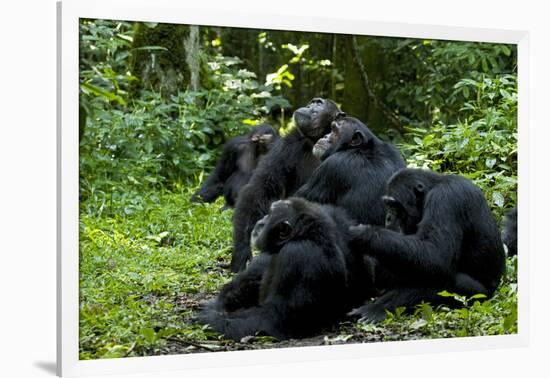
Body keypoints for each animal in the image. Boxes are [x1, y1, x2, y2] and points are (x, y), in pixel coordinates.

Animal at [201, 198, 352, 340]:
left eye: (270, 213)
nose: (261, 220)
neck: (304, 237)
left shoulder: (297, 254)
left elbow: (274, 319)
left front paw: (209, 318)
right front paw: (222, 300)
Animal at [230, 97, 342, 272]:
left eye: (319, 104)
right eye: (313, 102)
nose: (309, 105)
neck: (317, 139)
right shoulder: (287, 144)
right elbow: (260, 188)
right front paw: (241, 251)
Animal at [350, 168, 508, 322]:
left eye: (394, 205)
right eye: (387, 205)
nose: (388, 217)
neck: (431, 189)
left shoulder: (445, 199)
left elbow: (436, 254)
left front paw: (364, 233)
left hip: (476, 295)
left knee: (441, 280)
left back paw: (377, 308)